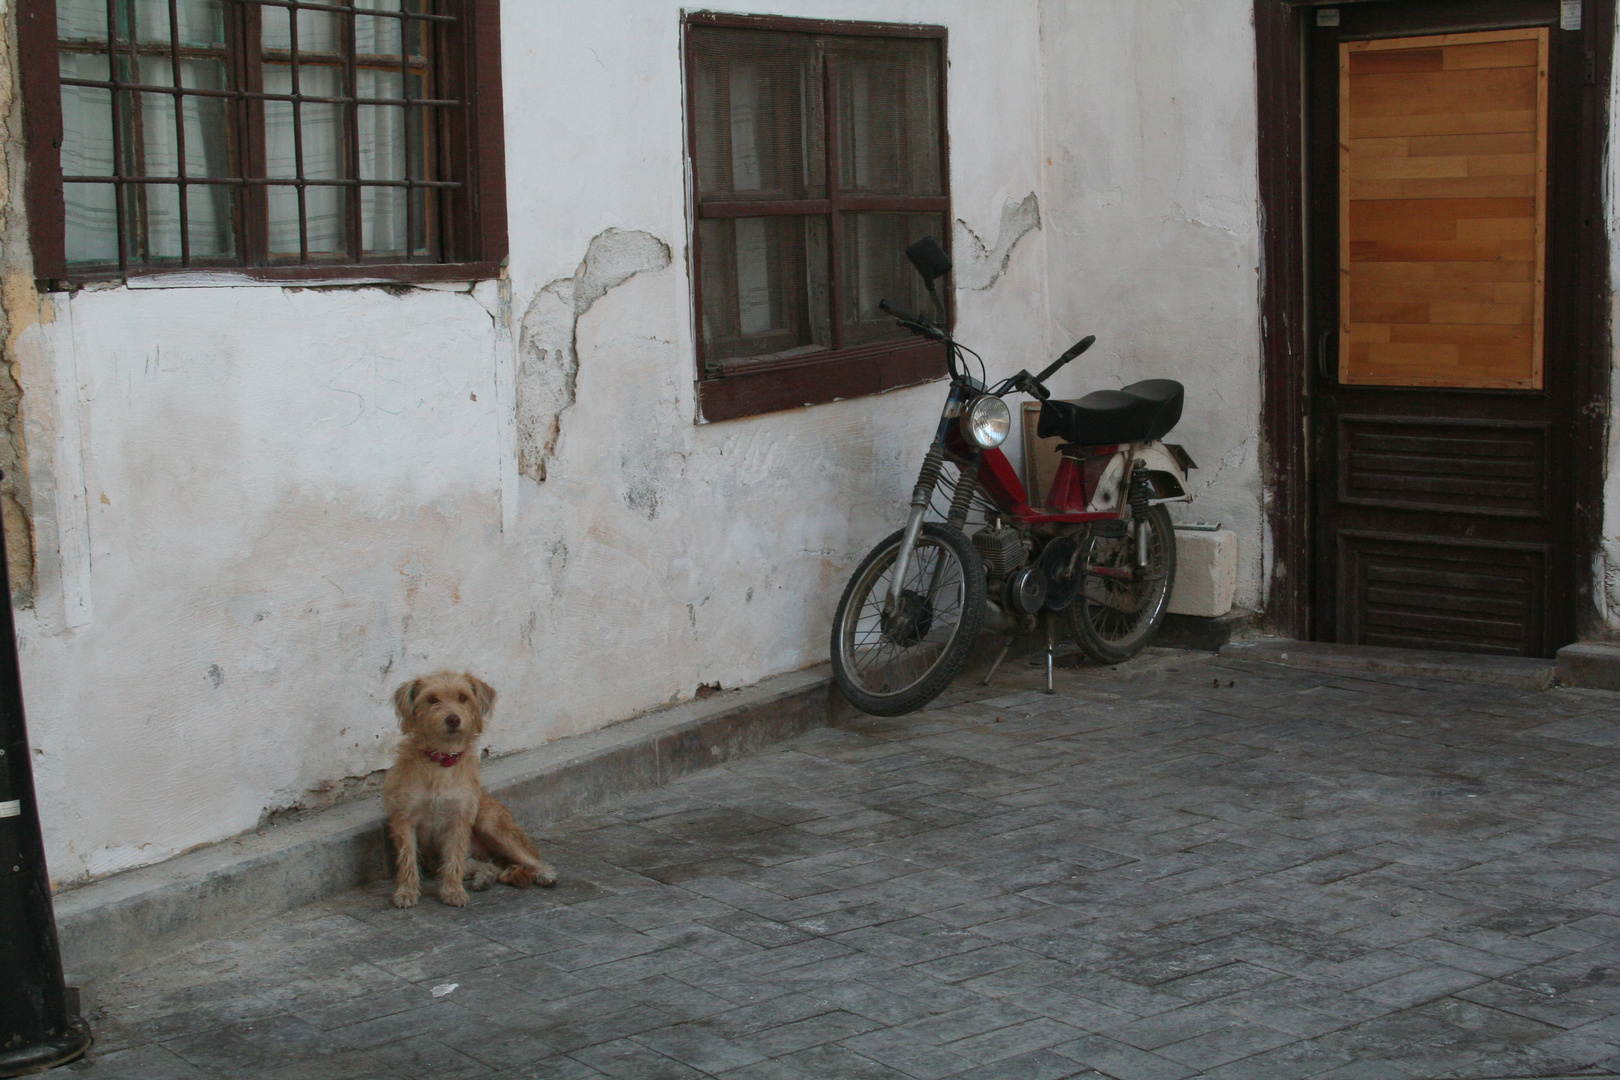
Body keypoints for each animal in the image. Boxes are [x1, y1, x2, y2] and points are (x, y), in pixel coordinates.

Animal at [383, 670, 557, 906]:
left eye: (463, 697)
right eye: (432, 699)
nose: (453, 719)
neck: (441, 761)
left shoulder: (459, 819)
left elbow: (453, 859)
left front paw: (452, 891)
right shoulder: (405, 819)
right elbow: (407, 858)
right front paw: (407, 892)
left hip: (493, 825)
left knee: (531, 859)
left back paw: (544, 873)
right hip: (464, 857)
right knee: (489, 865)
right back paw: (484, 878)